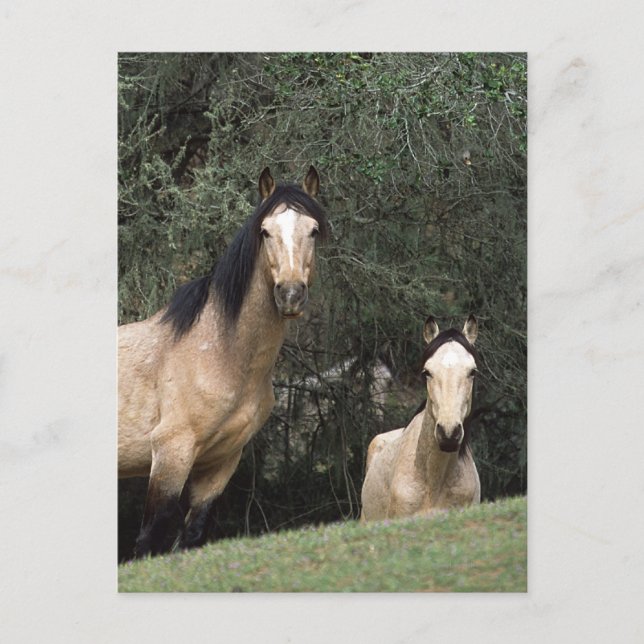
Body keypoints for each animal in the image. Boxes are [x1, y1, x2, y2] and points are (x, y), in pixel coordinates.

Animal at [118, 166, 329, 557]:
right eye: (265, 231)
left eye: (312, 229)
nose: (290, 295)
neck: (220, 352)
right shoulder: (171, 452)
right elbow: (149, 538)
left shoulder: (220, 463)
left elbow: (192, 533)